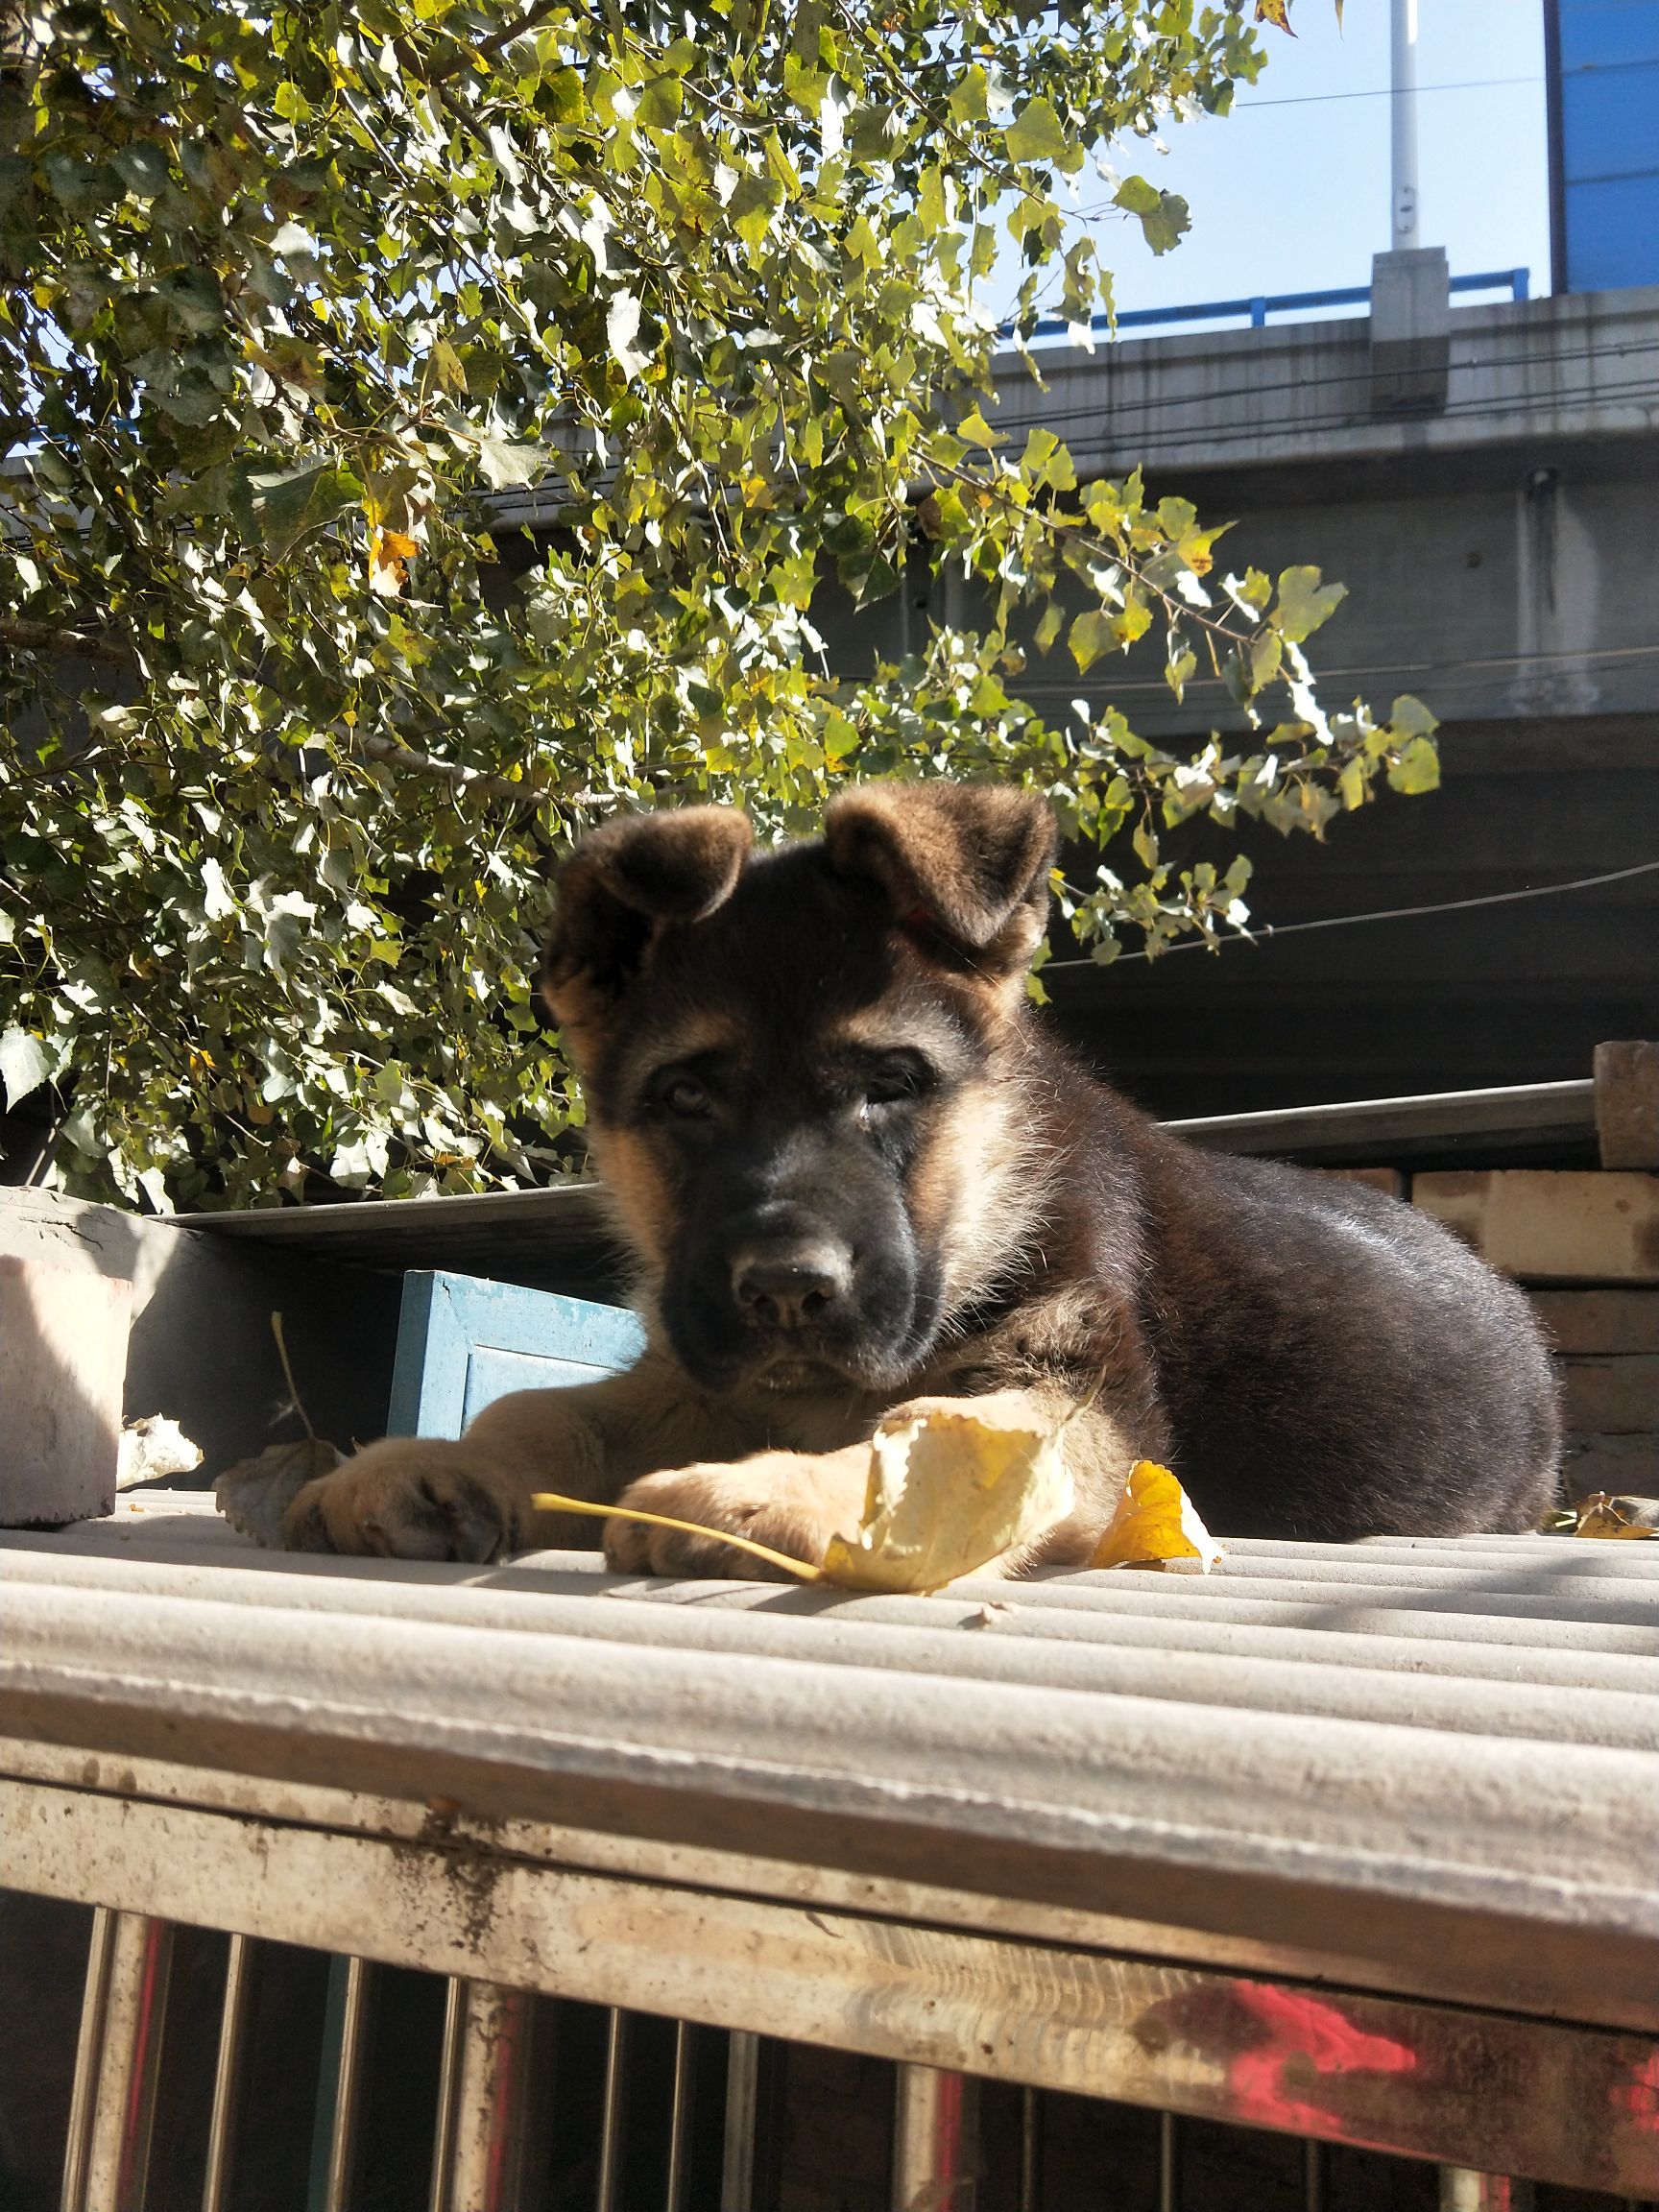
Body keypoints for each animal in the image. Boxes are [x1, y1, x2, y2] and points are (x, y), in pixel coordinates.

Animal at [292, 787, 1566, 1566]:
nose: (786, 1290)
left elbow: (931, 1438)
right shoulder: (703, 1375)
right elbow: (538, 1404)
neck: (989, 1198)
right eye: (686, 1099)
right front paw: (436, 1462)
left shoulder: (1083, 1408)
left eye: (894, 1084)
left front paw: (757, 1495)